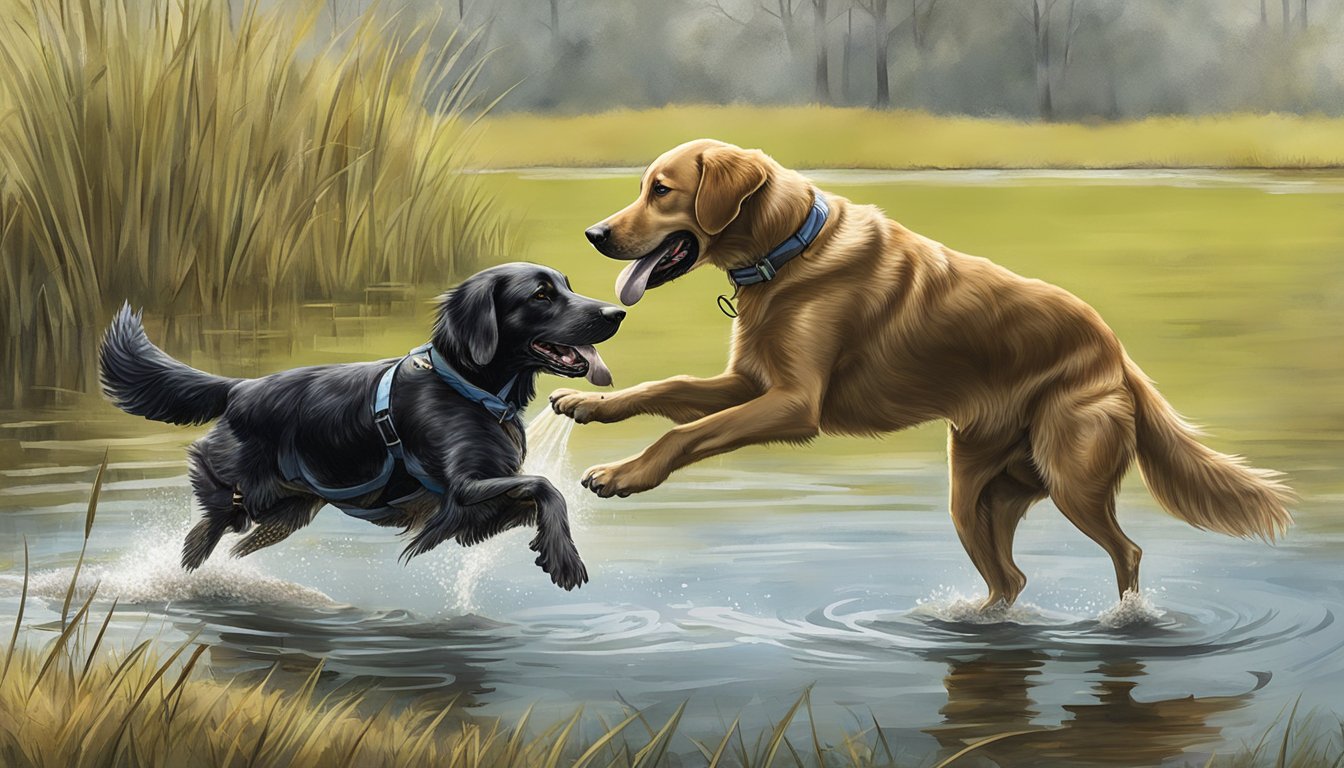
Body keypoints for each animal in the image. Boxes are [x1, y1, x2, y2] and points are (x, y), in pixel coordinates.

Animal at [99, 263, 623, 589]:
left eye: (566, 286)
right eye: (541, 295)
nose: (616, 312)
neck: (469, 386)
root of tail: (239, 387)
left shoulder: (469, 508)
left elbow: (538, 492)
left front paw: (551, 548)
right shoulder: (463, 488)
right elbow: (546, 486)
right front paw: (565, 560)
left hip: (287, 513)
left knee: (236, 542)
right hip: (242, 495)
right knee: (207, 522)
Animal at [551, 138, 1295, 607]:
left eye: (662, 190)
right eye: (642, 188)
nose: (593, 235)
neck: (789, 248)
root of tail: (1118, 355)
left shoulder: (793, 404)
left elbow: (683, 433)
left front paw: (623, 474)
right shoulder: (752, 385)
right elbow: (667, 390)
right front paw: (588, 406)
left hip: (1072, 479)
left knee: (1127, 552)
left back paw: (1128, 621)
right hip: (975, 495)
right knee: (1010, 580)